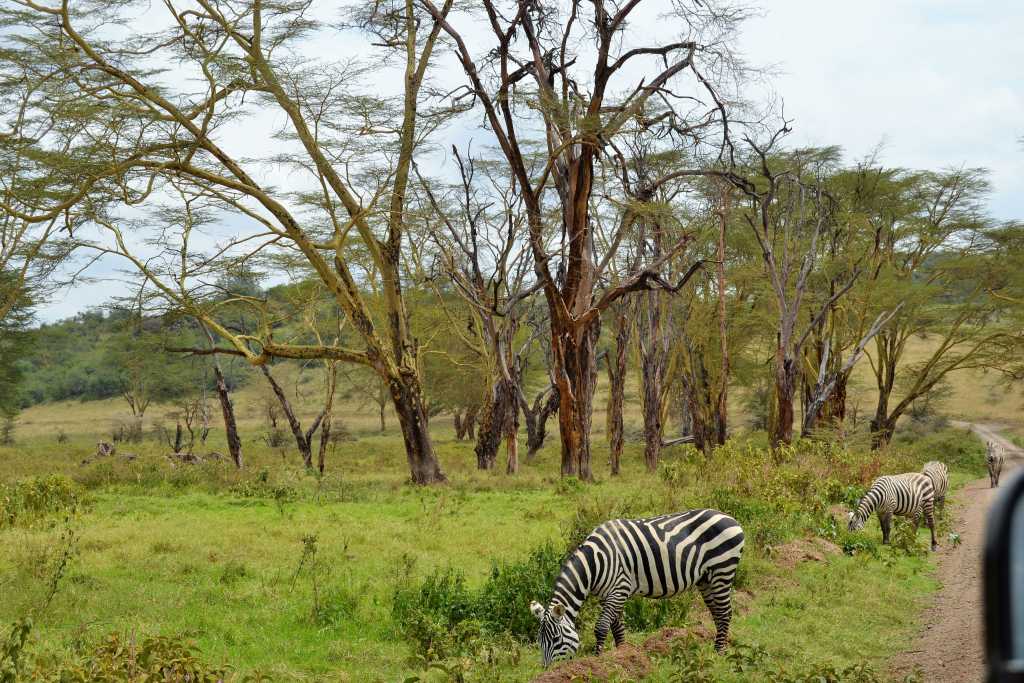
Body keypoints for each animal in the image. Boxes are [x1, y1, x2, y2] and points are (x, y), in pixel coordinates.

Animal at [528, 509, 745, 663]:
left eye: (556, 640)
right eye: (539, 642)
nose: (548, 671)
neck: (596, 562)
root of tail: (731, 519)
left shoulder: (620, 588)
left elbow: (601, 627)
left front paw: (598, 659)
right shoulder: (608, 594)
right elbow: (617, 627)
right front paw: (623, 656)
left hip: (722, 570)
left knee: (725, 612)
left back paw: (720, 652)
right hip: (706, 579)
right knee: (717, 612)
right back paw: (718, 647)